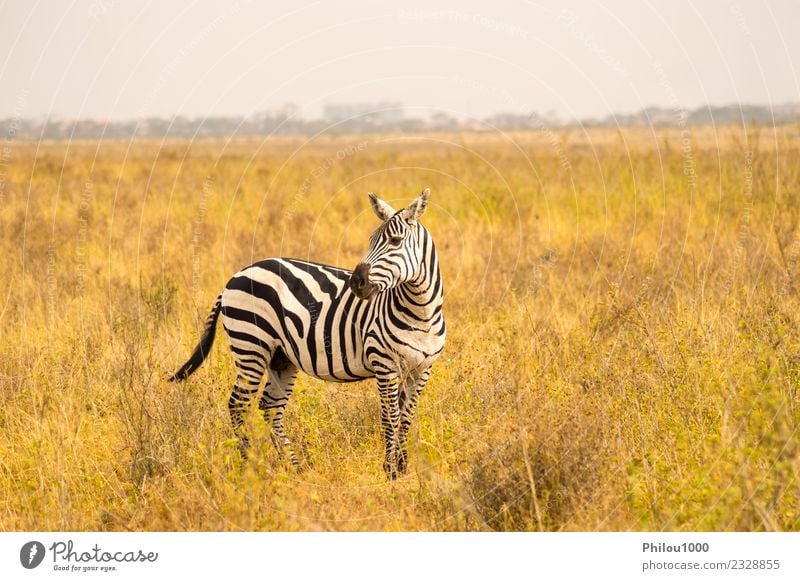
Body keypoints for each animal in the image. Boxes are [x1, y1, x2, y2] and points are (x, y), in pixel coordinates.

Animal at [170, 188, 444, 478]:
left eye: (395, 241)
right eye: (371, 241)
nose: (356, 282)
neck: (420, 313)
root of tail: (236, 275)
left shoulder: (422, 369)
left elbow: (406, 418)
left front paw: (402, 468)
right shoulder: (384, 364)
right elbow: (390, 418)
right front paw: (390, 472)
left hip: (281, 358)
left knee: (270, 407)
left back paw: (294, 468)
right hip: (251, 345)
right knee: (238, 405)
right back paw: (248, 467)